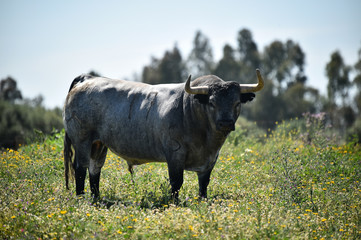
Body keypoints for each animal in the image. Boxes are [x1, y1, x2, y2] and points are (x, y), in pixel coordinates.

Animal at [63, 69, 262, 199]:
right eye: (212, 102)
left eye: (237, 103)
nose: (226, 122)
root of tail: (88, 79)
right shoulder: (175, 154)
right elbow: (176, 182)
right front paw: (175, 203)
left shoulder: (211, 159)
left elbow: (203, 184)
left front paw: (202, 202)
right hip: (82, 141)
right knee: (80, 169)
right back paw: (81, 199)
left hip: (98, 144)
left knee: (94, 169)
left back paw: (96, 199)